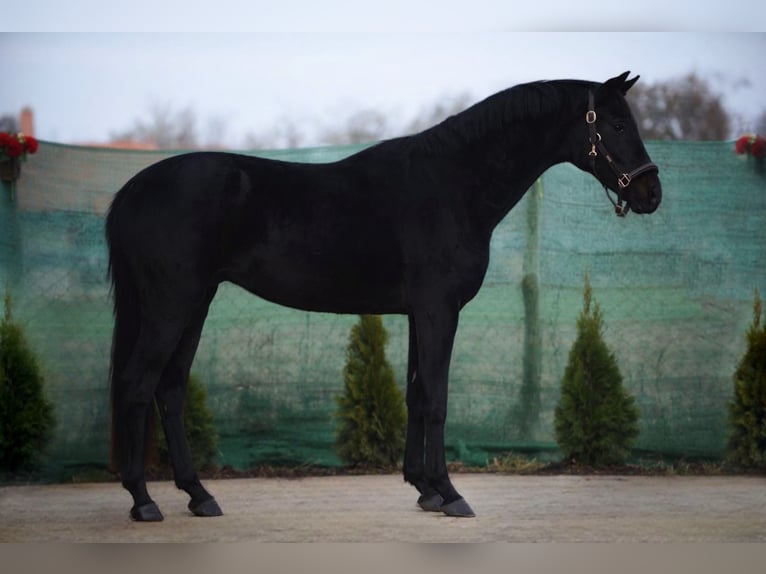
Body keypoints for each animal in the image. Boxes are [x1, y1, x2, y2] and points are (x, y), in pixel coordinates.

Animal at [106, 71, 660, 520]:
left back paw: (199, 496)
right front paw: (451, 494)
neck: (452, 183)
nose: (650, 194)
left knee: (170, 389)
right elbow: (436, 398)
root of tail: (131, 190)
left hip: (195, 304)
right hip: (170, 307)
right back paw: (144, 501)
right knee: (137, 384)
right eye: (615, 126)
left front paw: (425, 489)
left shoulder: (420, 313)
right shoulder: (439, 310)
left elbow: (415, 393)